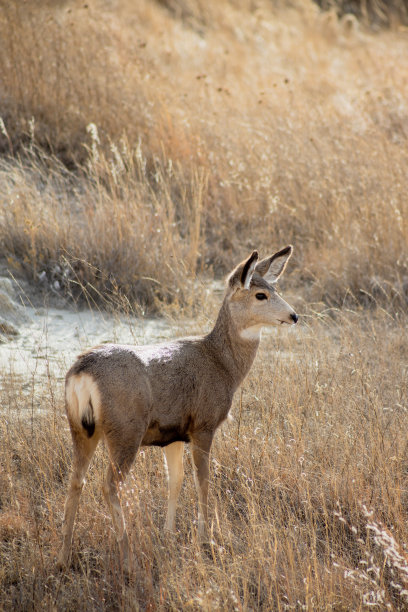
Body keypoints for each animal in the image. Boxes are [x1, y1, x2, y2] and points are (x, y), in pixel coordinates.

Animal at [57, 244, 298, 568]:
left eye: (275, 288)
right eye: (261, 295)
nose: (294, 315)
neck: (222, 365)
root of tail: (81, 372)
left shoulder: (171, 435)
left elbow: (176, 481)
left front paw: (168, 535)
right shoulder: (204, 425)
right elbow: (203, 481)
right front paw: (206, 539)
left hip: (80, 428)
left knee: (76, 481)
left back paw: (63, 555)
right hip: (125, 430)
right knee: (109, 485)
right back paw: (128, 557)